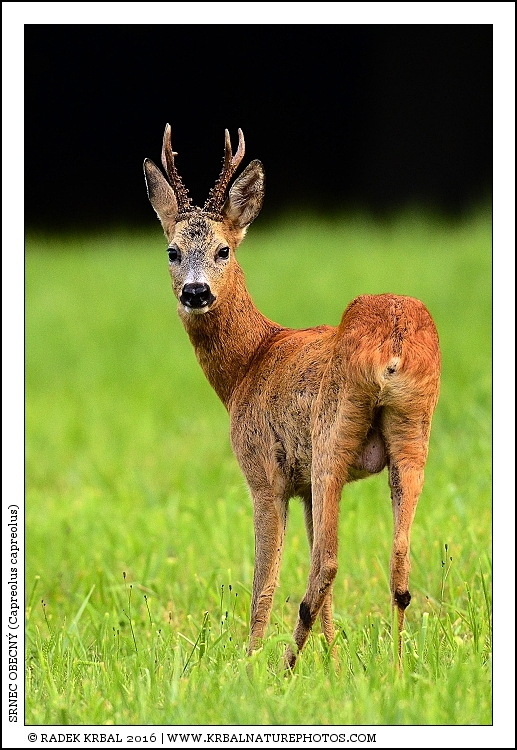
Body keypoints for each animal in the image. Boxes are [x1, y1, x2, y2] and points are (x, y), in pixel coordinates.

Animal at [144, 126, 441, 669]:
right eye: (172, 251)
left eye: (223, 250)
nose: (196, 292)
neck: (250, 363)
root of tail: (392, 339)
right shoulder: (301, 485)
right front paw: (334, 660)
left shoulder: (265, 470)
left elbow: (264, 580)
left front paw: (247, 662)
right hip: (412, 430)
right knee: (398, 564)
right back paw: (395, 665)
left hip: (332, 437)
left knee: (327, 563)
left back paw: (285, 664)